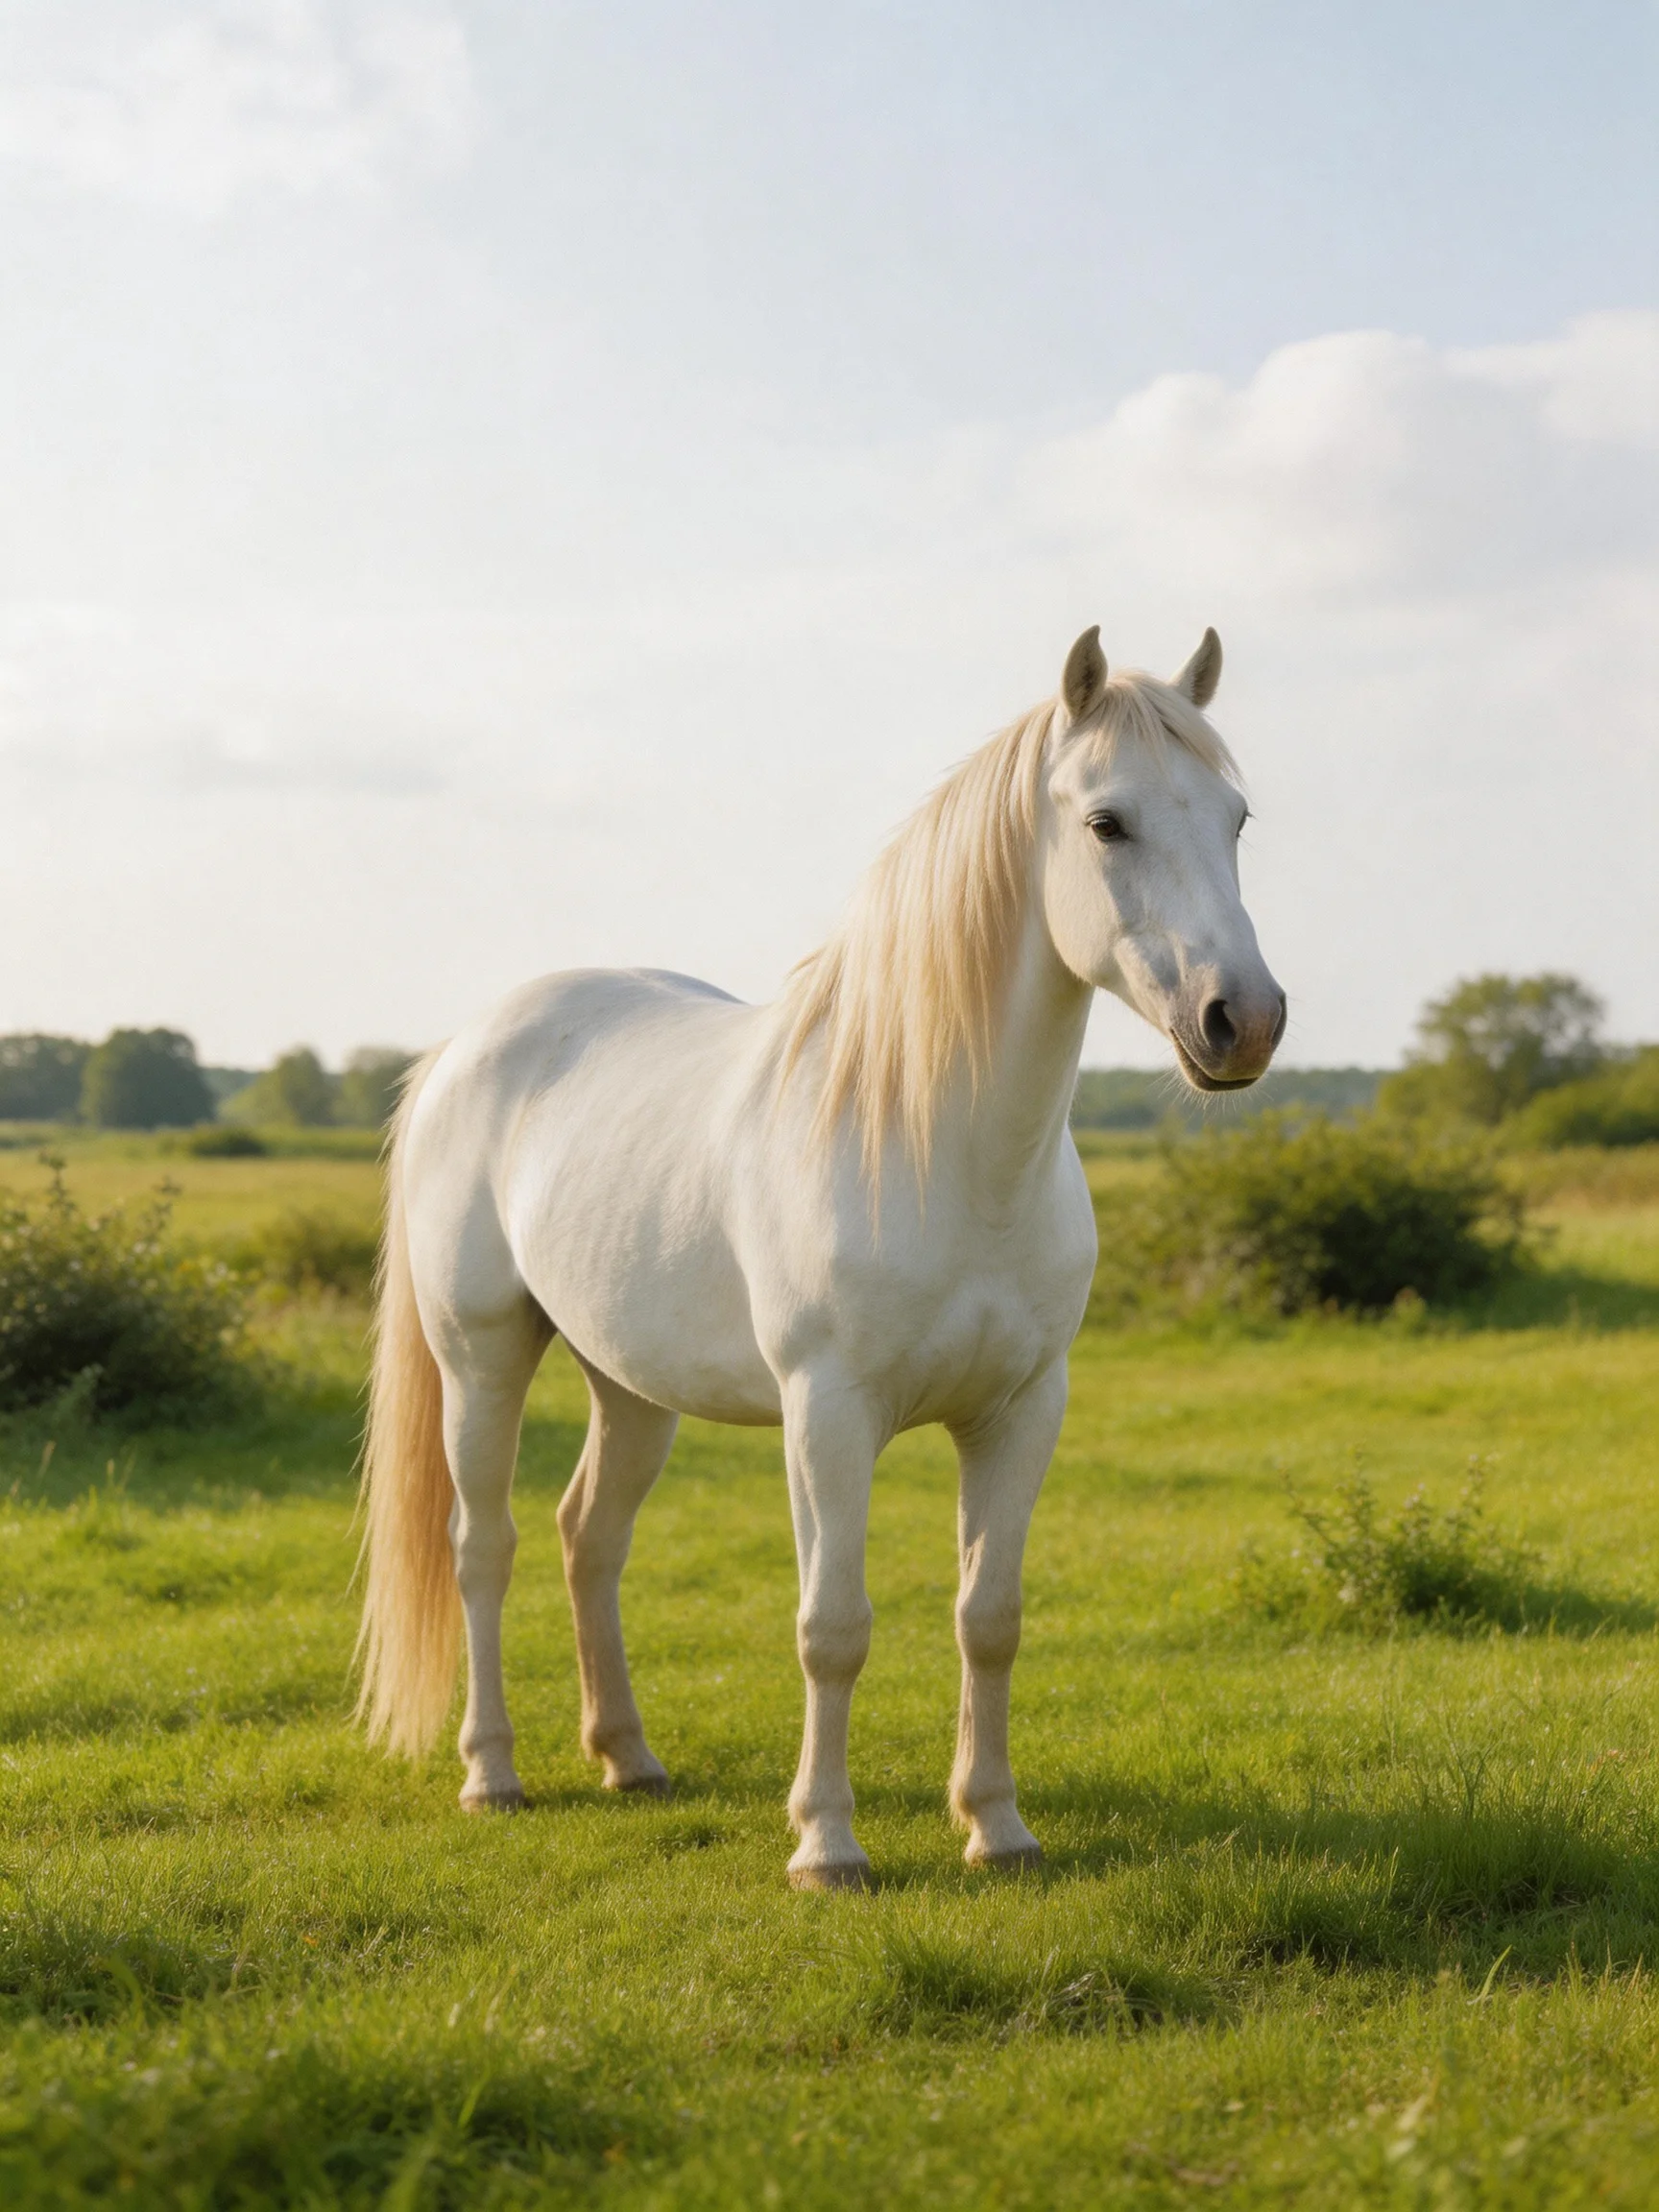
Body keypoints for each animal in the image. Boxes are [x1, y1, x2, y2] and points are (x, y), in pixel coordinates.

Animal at [355, 624, 1285, 1889]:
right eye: (1107, 822)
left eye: (1236, 816)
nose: (1245, 1019)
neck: (944, 1148)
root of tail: (465, 1045)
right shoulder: (829, 1414)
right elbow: (832, 1627)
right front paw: (828, 1846)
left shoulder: (1021, 1410)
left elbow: (989, 1618)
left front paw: (997, 1827)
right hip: (482, 1361)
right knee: (481, 1547)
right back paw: (491, 1774)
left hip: (631, 1386)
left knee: (589, 1537)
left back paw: (628, 1757)